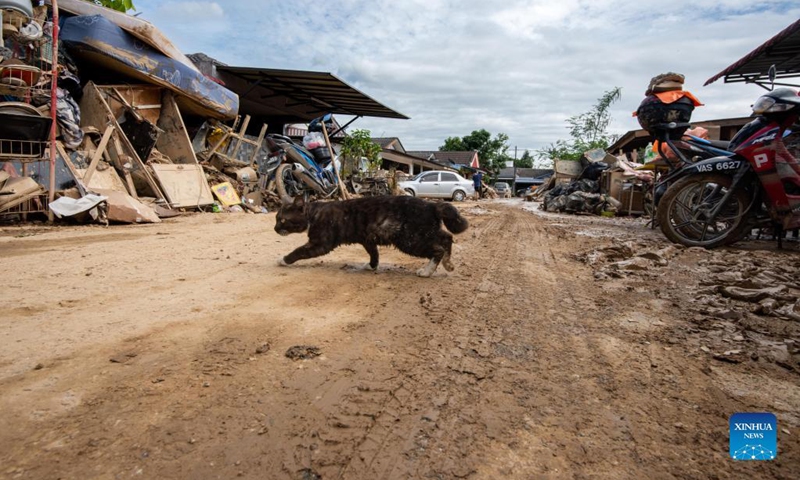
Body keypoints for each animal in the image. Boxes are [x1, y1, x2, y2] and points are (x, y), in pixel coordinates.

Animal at [276, 195, 468, 278]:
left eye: (283, 220)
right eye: (276, 218)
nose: (275, 228)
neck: (313, 214)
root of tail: (432, 205)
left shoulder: (320, 243)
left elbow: (299, 251)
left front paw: (283, 260)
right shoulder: (367, 239)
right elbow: (374, 253)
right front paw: (371, 266)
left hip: (410, 240)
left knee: (438, 249)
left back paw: (427, 271)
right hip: (424, 233)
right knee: (446, 237)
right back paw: (449, 264)